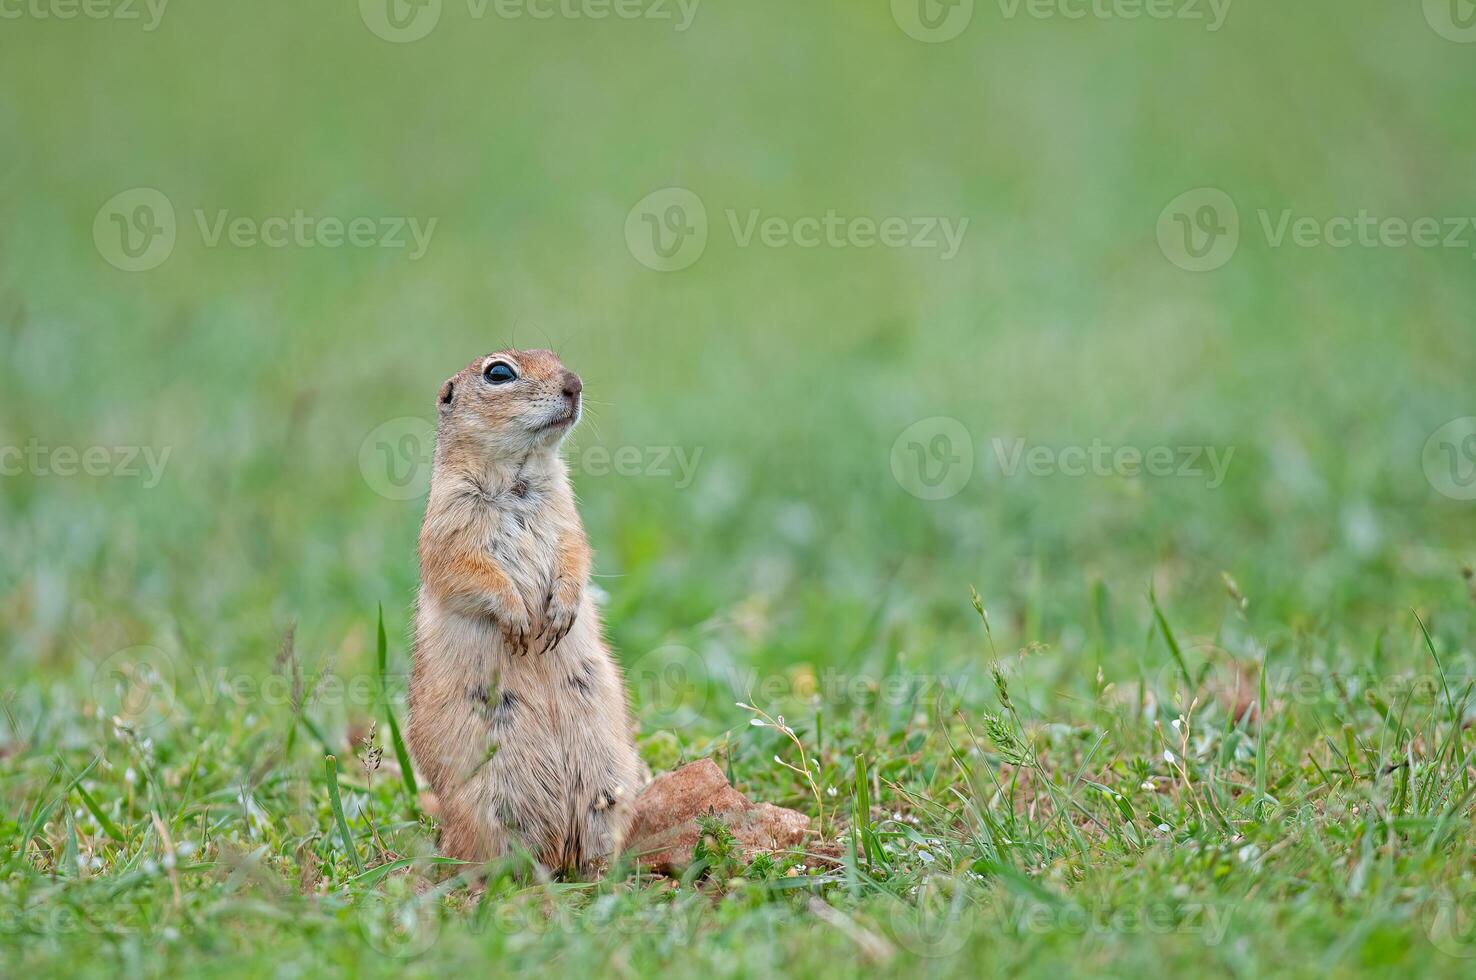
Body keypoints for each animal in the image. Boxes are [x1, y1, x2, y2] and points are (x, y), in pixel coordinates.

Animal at [413, 348, 649, 873]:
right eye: (499, 372)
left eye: (557, 357)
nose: (574, 383)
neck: (519, 477)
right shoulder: (449, 523)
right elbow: (468, 571)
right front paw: (520, 620)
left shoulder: (569, 518)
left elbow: (576, 554)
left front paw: (560, 612)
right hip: (489, 805)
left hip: (608, 785)